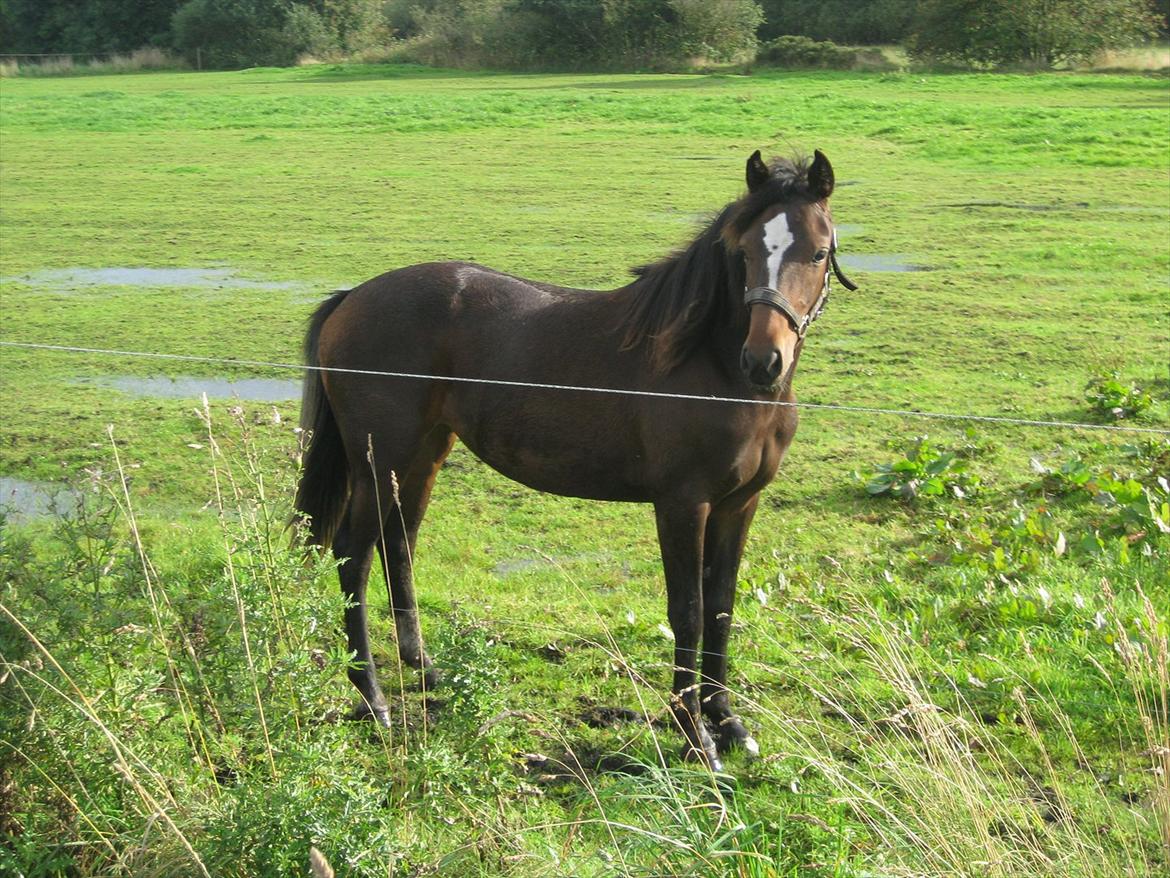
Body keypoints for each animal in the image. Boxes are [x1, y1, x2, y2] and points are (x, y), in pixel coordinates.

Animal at [295, 149, 856, 771]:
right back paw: (373, 699)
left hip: (423, 454)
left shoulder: (739, 505)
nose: (763, 360)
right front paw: (696, 736)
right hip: (380, 458)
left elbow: (721, 608)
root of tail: (353, 297)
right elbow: (687, 609)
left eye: (819, 252)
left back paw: (426, 672)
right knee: (354, 555)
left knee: (399, 544)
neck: (713, 369)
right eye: (745, 251)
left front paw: (729, 723)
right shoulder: (683, 505)